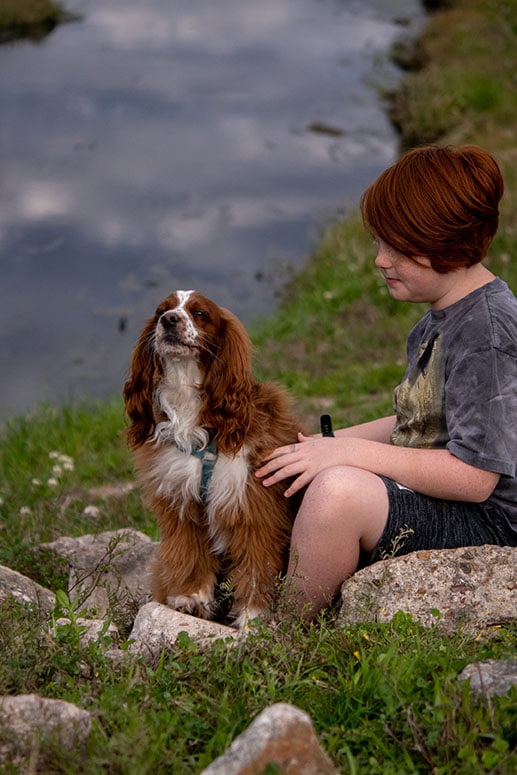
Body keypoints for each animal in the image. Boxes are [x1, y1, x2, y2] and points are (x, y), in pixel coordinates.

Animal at [124, 288, 302, 628]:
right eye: (161, 311)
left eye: (199, 313)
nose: (169, 320)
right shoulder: (181, 503)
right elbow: (189, 553)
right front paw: (190, 598)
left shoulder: (252, 504)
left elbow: (256, 562)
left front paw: (252, 614)